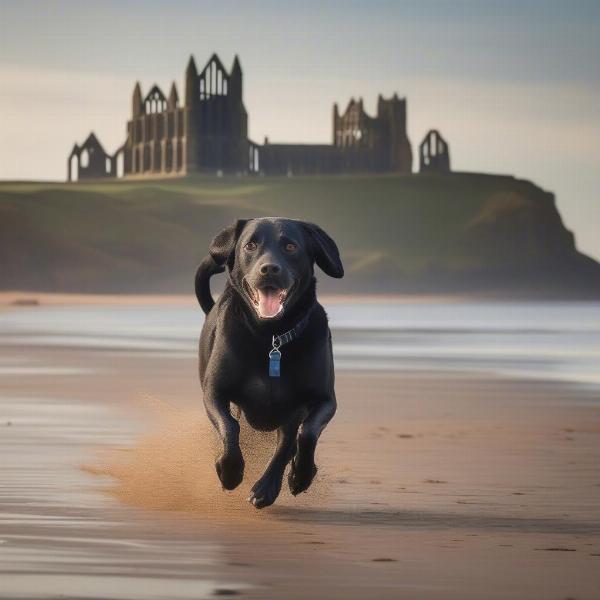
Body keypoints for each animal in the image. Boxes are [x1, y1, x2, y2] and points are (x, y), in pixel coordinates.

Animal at [195, 218, 344, 508]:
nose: (269, 269)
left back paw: (268, 487)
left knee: (288, 440)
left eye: (290, 246)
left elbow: (306, 433)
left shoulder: (324, 400)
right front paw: (229, 471)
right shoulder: (214, 393)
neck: (270, 337)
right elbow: (230, 426)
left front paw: (300, 476)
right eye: (250, 245)